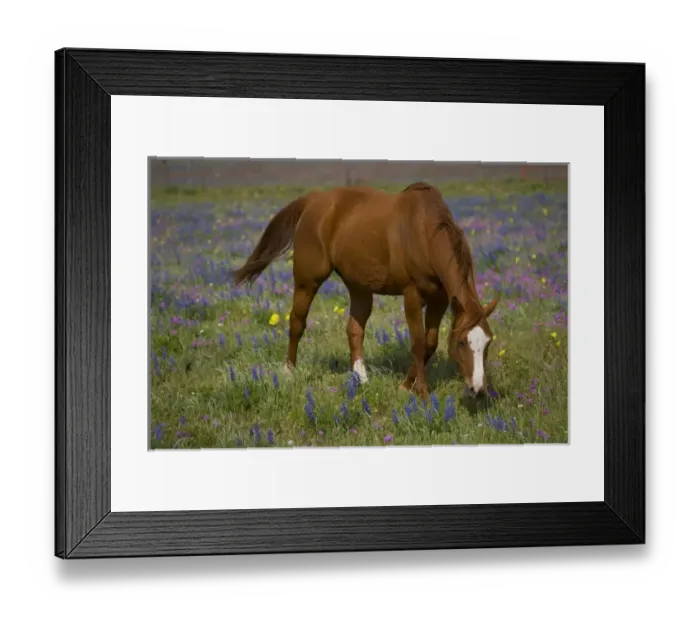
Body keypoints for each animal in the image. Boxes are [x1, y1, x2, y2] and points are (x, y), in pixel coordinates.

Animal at [232, 181, 499, 400]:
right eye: (462, 343)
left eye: (487, 343)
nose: (478, 389)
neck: (424, 232)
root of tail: (313, 200)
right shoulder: (412, 296)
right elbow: (418, 343)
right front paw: (419, 391)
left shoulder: (440, 299)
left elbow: (430, 343)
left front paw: (406, 385)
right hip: (307, 280)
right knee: (297, 321)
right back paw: (289, 371)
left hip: (359, 287)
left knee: (354, 329)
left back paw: (360, 378)